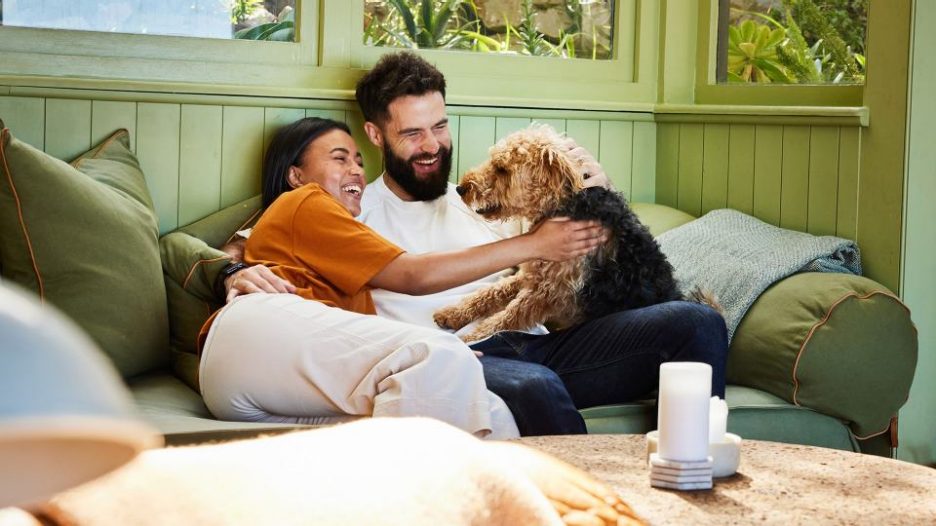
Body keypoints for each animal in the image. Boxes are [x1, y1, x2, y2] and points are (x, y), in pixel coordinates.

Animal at [432, 126, 716, 344]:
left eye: (502, 169)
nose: (461, 188)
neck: (562, 205)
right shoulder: (533, 274)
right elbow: (490, 292)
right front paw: (453, 314)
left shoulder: (547, 292)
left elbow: (505, 317)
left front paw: (469, 338)